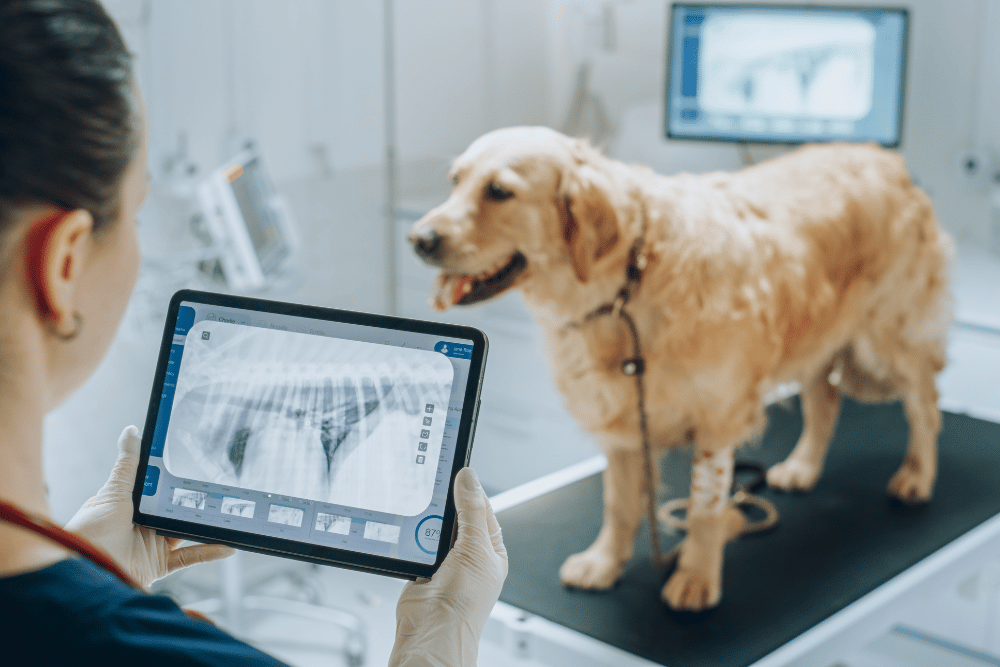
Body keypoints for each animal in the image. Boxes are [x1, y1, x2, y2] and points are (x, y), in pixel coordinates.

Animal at [406, 125, 952, 612]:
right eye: (455, 180)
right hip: (817, 336)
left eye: (500, 191)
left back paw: (917, 477)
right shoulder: (625, 420)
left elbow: (706, 508)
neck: (628, 282)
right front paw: (603, 563)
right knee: (825, 402)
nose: (418, 238)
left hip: (888, 338)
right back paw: (803, 467)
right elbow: (620, 503)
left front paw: (694, 578)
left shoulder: (718, 416)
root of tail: (887, 159)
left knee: (924, 406)